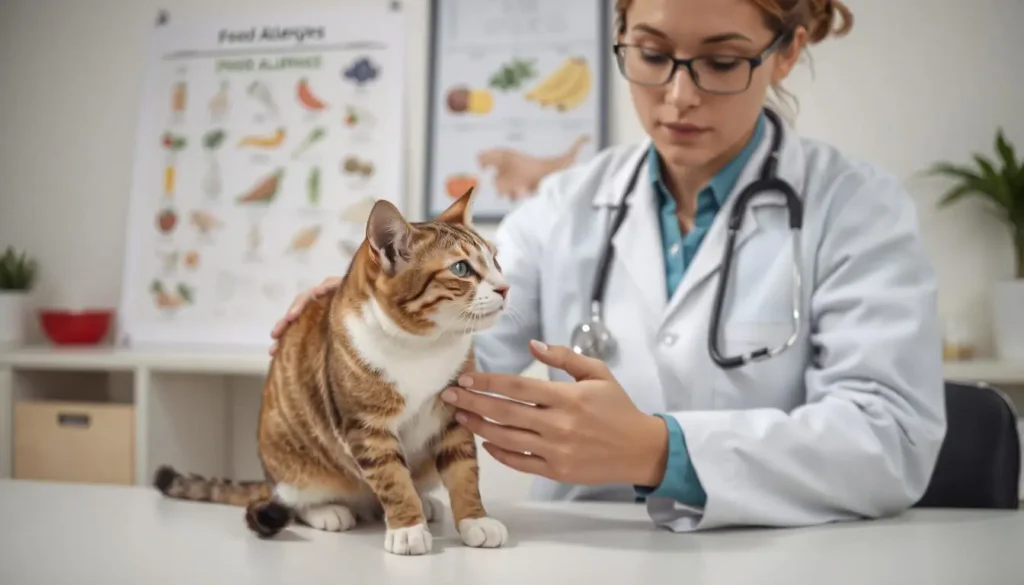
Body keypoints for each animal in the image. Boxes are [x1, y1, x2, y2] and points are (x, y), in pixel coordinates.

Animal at [152, 189, 512, 557]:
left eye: (495, 260)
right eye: (461, 268)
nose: (505, 287)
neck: (424, 347)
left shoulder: (452, 416)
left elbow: (464, 472)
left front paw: (475, 521)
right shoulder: (366, 427)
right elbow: (393, 480)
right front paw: (408, 528)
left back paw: (424, 503)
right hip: (296, 467)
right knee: (296, 503)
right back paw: (330, 511)